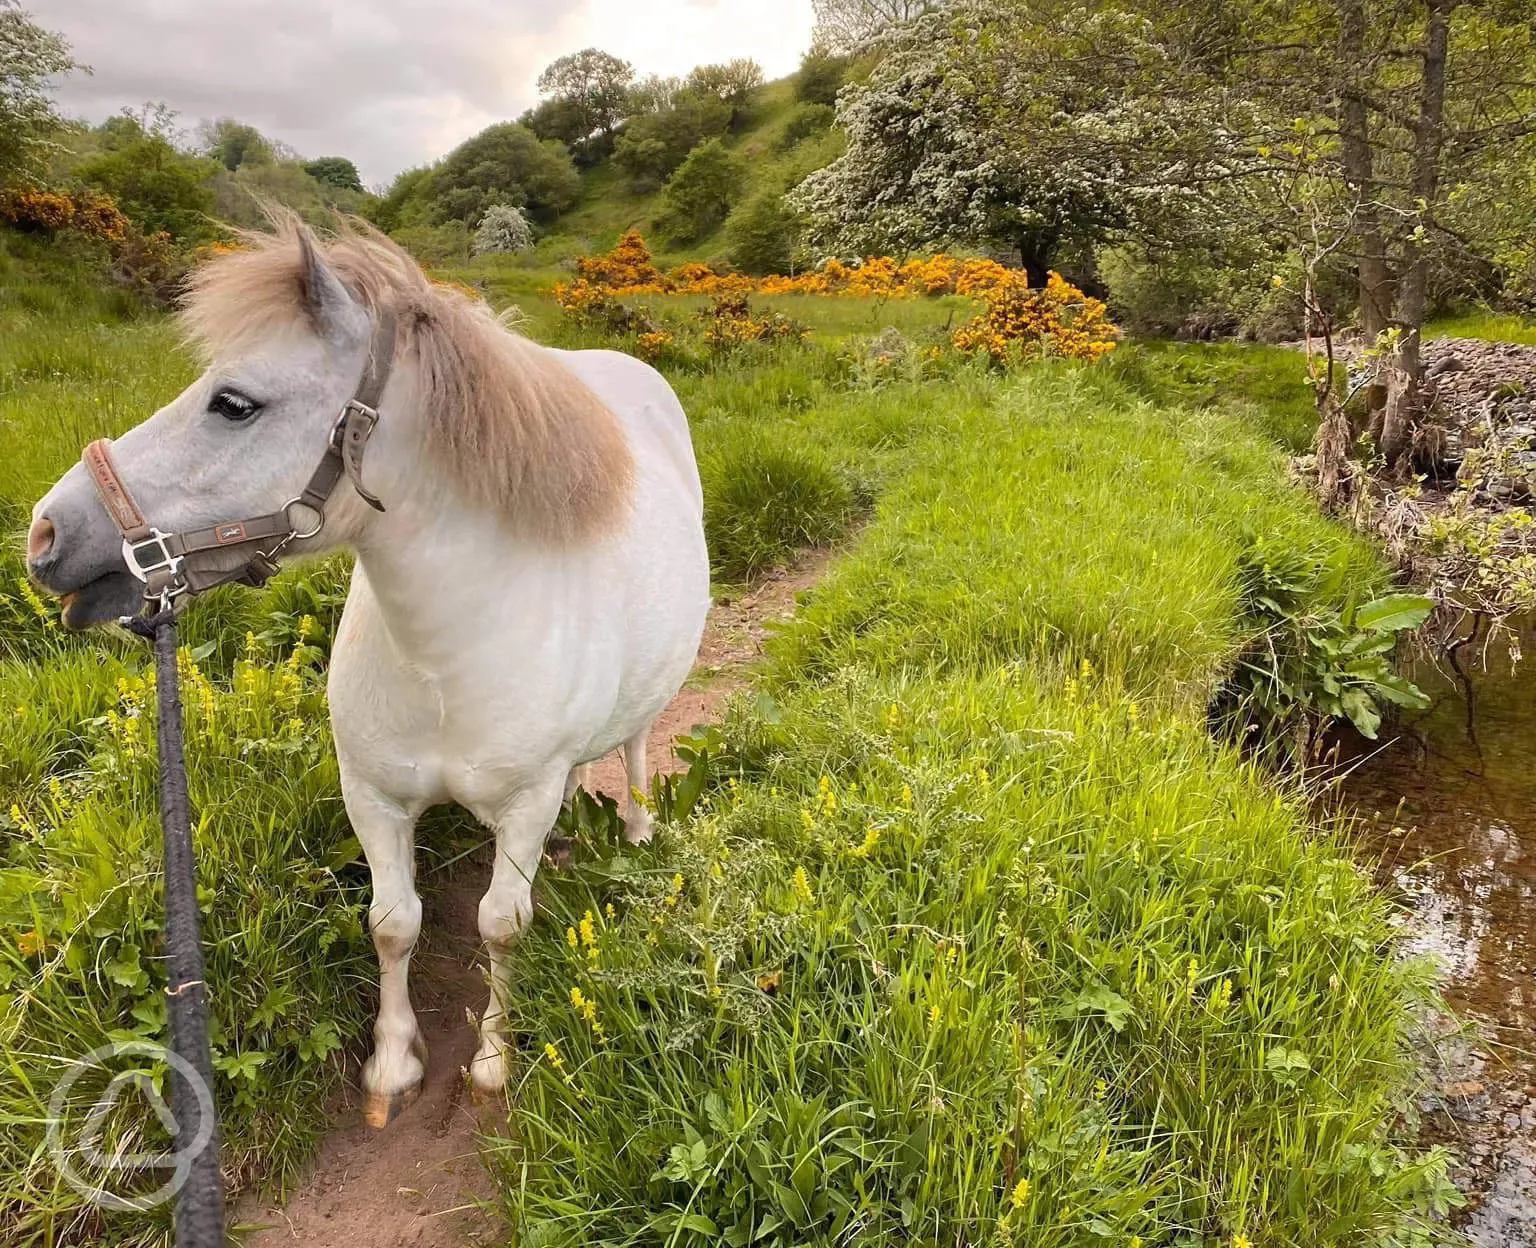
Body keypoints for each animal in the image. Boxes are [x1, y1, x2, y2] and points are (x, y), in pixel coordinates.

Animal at [25, 219, 711, 1124]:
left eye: (233, 403)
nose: (43, 533)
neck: (447, 657)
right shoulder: (374, 797)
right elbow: (393, 923)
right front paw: (392, 1064)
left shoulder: (524, 805)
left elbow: (501, 925)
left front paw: (492, 1063)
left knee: (633, 748)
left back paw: (634, 830)